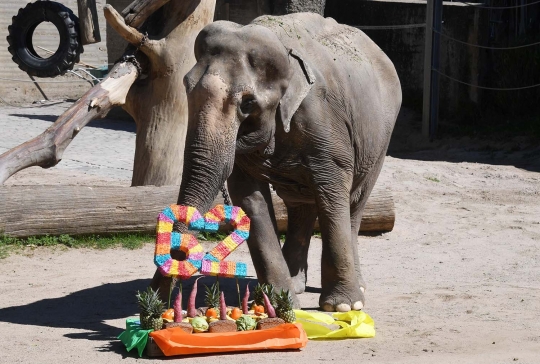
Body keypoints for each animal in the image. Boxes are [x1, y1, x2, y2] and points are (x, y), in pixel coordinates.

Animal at [177, 12, 400, 312]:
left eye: (248, 104)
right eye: (186, 87)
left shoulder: (323, 121)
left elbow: (333, 190)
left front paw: (341, 307)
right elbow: (250, 198)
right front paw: (281, 302)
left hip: (379, 139)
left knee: (354, 203)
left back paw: (357, 290)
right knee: (300, 205)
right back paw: (295, 283)